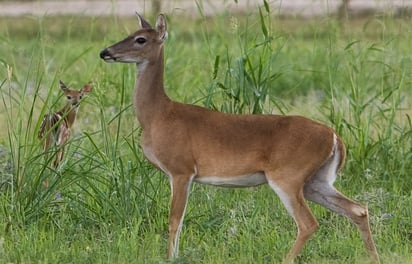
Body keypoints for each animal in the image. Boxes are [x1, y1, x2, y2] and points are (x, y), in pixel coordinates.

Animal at [99, 13, 380, 262]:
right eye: (130, 33)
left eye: (141, 39)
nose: (105, 52)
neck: (158, 115)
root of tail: (334, 136)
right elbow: (178, 221)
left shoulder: (181, 169)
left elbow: (174, 221)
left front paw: (170, 258)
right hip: (315, 180)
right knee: (358, 209)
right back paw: (373, 258)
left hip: (288, 175)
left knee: (309, 223)